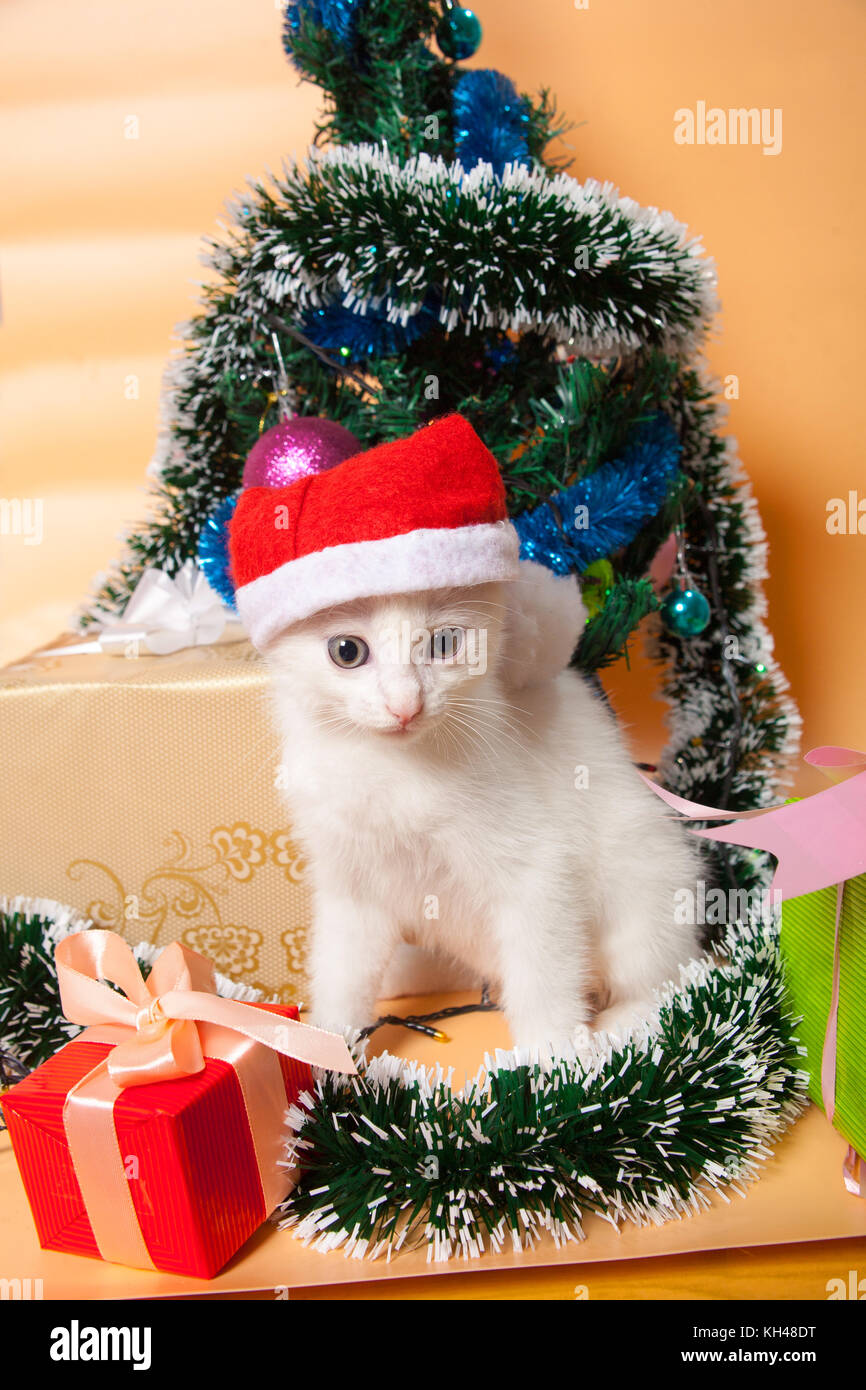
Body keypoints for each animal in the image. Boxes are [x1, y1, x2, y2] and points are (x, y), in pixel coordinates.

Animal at [264, 558, 706, 1045]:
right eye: (346, 650)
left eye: (444, 643)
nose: (405, 706)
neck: (390, 769)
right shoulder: (350, 886)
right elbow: (341, 970)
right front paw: (326, 1042)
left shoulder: (537, 870)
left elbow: (541, 974)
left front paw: (555, 1052)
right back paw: (410, 971)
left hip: (645, 889)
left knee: (671, 983)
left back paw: (621, 1026)